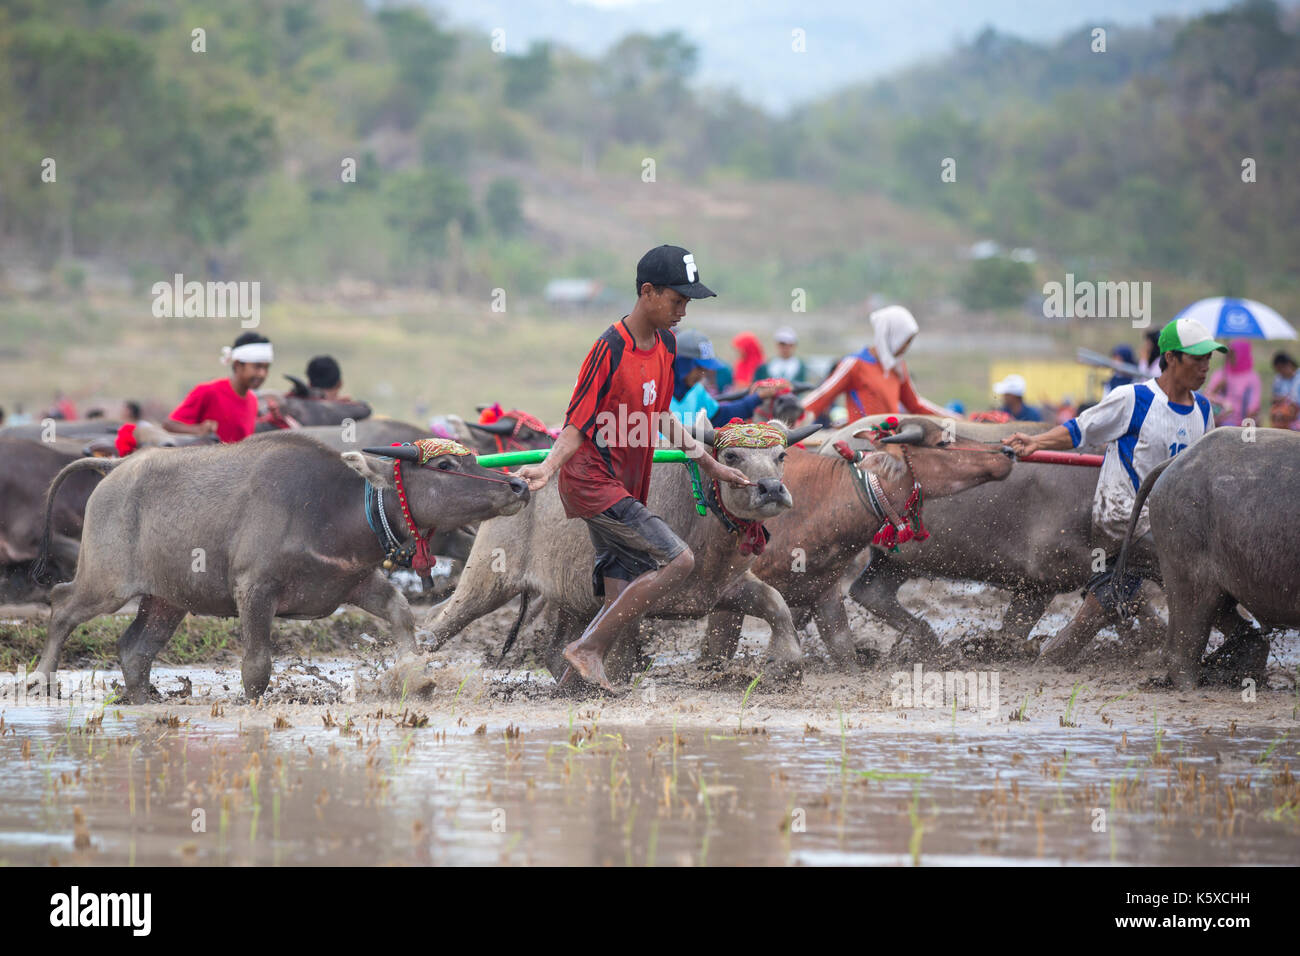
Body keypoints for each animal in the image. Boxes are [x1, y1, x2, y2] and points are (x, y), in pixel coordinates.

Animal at [35, 434, 533, 702]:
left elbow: (400, 611)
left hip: (166, 599)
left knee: (135, 649)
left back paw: (142, 698)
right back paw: (42, 679)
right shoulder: (255, 590)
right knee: (62, 604)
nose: (519, 485)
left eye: (473, 459)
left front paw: (417, 675)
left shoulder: (354, 582)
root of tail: (114, 466)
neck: (333, 508)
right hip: (106, 583)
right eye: (446, 465)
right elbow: (257, 667)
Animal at [421, 418, 816, 681]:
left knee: (553, 648)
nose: (771, 488)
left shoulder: (724, 587)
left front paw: (784, 666)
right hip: (488, 579)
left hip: (568, 599)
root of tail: (517, 479)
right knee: (439, 622)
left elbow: (775, 603)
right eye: (732, 456)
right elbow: (623, 651)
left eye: (781, 455)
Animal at [702, 418, 1013, 665]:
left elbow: (845, 653)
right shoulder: (728, 597)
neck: (821, 502)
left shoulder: (824, 594)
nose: (1007, 451)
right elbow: (716, 652)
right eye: (943, 442)